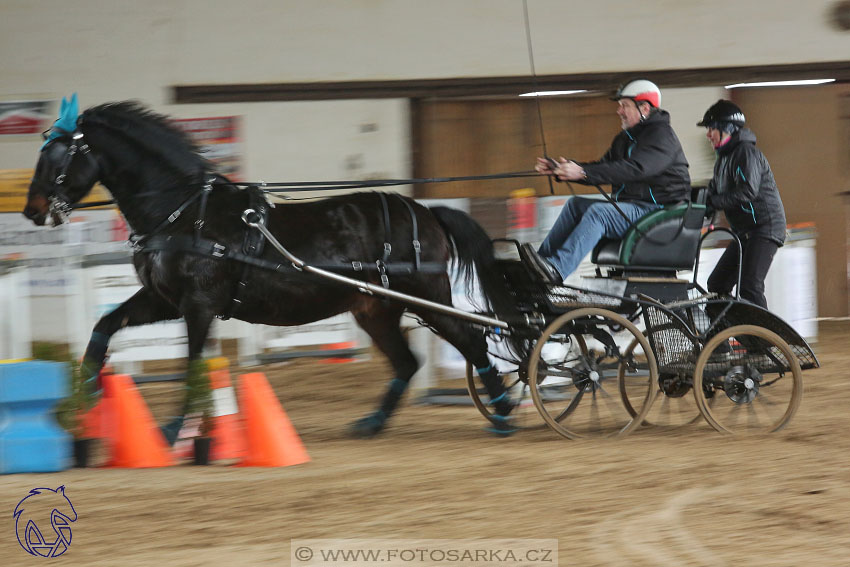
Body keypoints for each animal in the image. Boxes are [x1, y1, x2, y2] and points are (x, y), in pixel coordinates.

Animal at [23, 102, 520, 438]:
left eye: (58, 156)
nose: (33, 211)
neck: (184, 213)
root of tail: (425, 211)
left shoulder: (198, 305)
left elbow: (192, 366)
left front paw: (174, 429)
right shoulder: (163, 300)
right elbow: (105, 325)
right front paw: (84, 397)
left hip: (430, 299)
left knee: (472, 341)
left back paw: (502, 411)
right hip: (375, 310)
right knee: (408, 361)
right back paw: (374, 422)